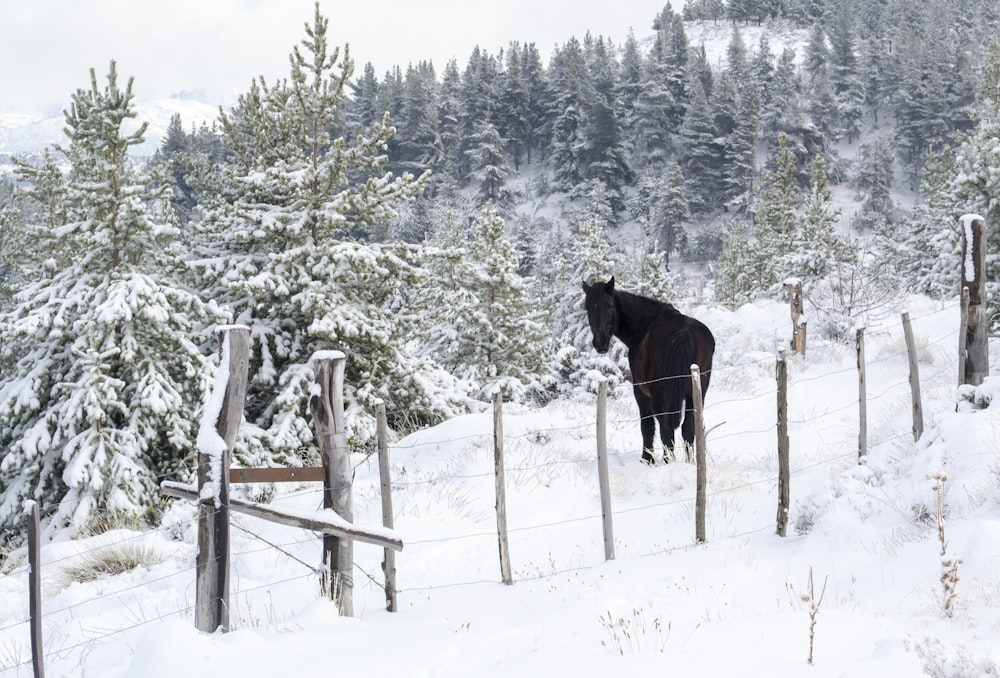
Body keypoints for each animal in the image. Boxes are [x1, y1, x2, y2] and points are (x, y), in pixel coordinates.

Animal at [584, 278, 716, 464]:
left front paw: (647, 459)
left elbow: (647, 427)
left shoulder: (641, 392)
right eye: (588, 308)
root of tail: (684, 333)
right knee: (688, 427)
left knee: (666, 429)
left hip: (660, 395)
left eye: (609, 306)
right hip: (696, 393)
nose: (600, 343)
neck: (645, 325)